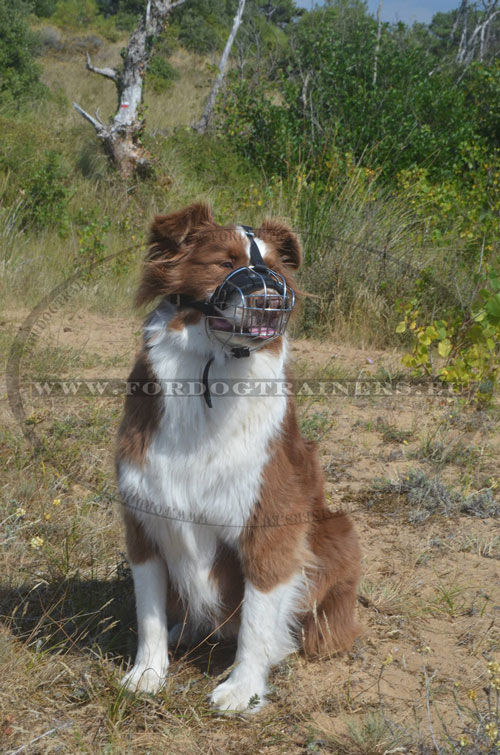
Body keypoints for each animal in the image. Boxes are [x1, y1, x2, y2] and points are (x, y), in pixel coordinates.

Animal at [116, 204, 360, 712]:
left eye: (277, 273)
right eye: (225, 263)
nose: (269, 300)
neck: (213, 374)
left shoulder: (270, 525)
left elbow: (256, 619)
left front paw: (243, 688)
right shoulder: (143, 518)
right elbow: (148, 612)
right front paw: (148, 673)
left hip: (339, 530)